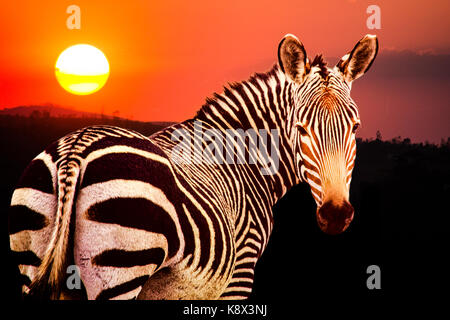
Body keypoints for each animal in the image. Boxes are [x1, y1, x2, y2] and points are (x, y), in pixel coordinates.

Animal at [8, 34, 378, 300]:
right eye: (301, 129)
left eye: (355, 128)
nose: (335, 215)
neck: (246, 157)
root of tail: (76, 149)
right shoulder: (239, 274)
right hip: (121, 269)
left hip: (36, 262)